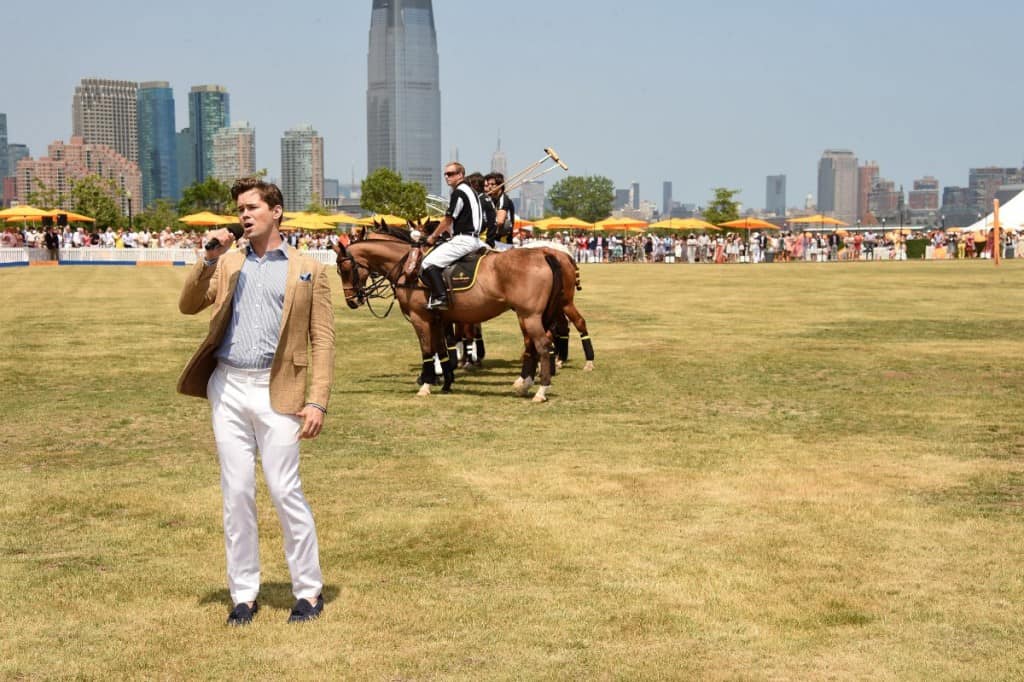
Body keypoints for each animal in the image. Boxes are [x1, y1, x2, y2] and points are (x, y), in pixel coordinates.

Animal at [335, 228, 565, 399]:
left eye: (343, 269)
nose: (352, 301)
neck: (408, 267)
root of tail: (544, 254)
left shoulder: (420, 319)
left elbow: (427, 350)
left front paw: (426, 385)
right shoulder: (438, 320)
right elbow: (442, 350)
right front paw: (446, 383)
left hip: (529, 316)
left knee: (543, 345)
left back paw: (541, 390)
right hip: (529, 316)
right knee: (534, 345)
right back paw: (526, 385)